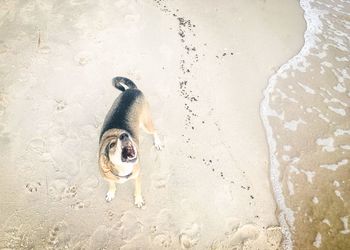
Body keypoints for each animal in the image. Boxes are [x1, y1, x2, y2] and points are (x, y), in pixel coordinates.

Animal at [98, 77, 161, 208]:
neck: (123, 170)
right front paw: (111, 193)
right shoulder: (108, 178)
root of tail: (133, 89)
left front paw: (138, 200)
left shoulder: (137, 176)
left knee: (155, 131)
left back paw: (157, 142)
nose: (124, 135)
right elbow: (112, 184)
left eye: (124, 135)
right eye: (111, 145)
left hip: (146, 123)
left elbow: (138, 189)